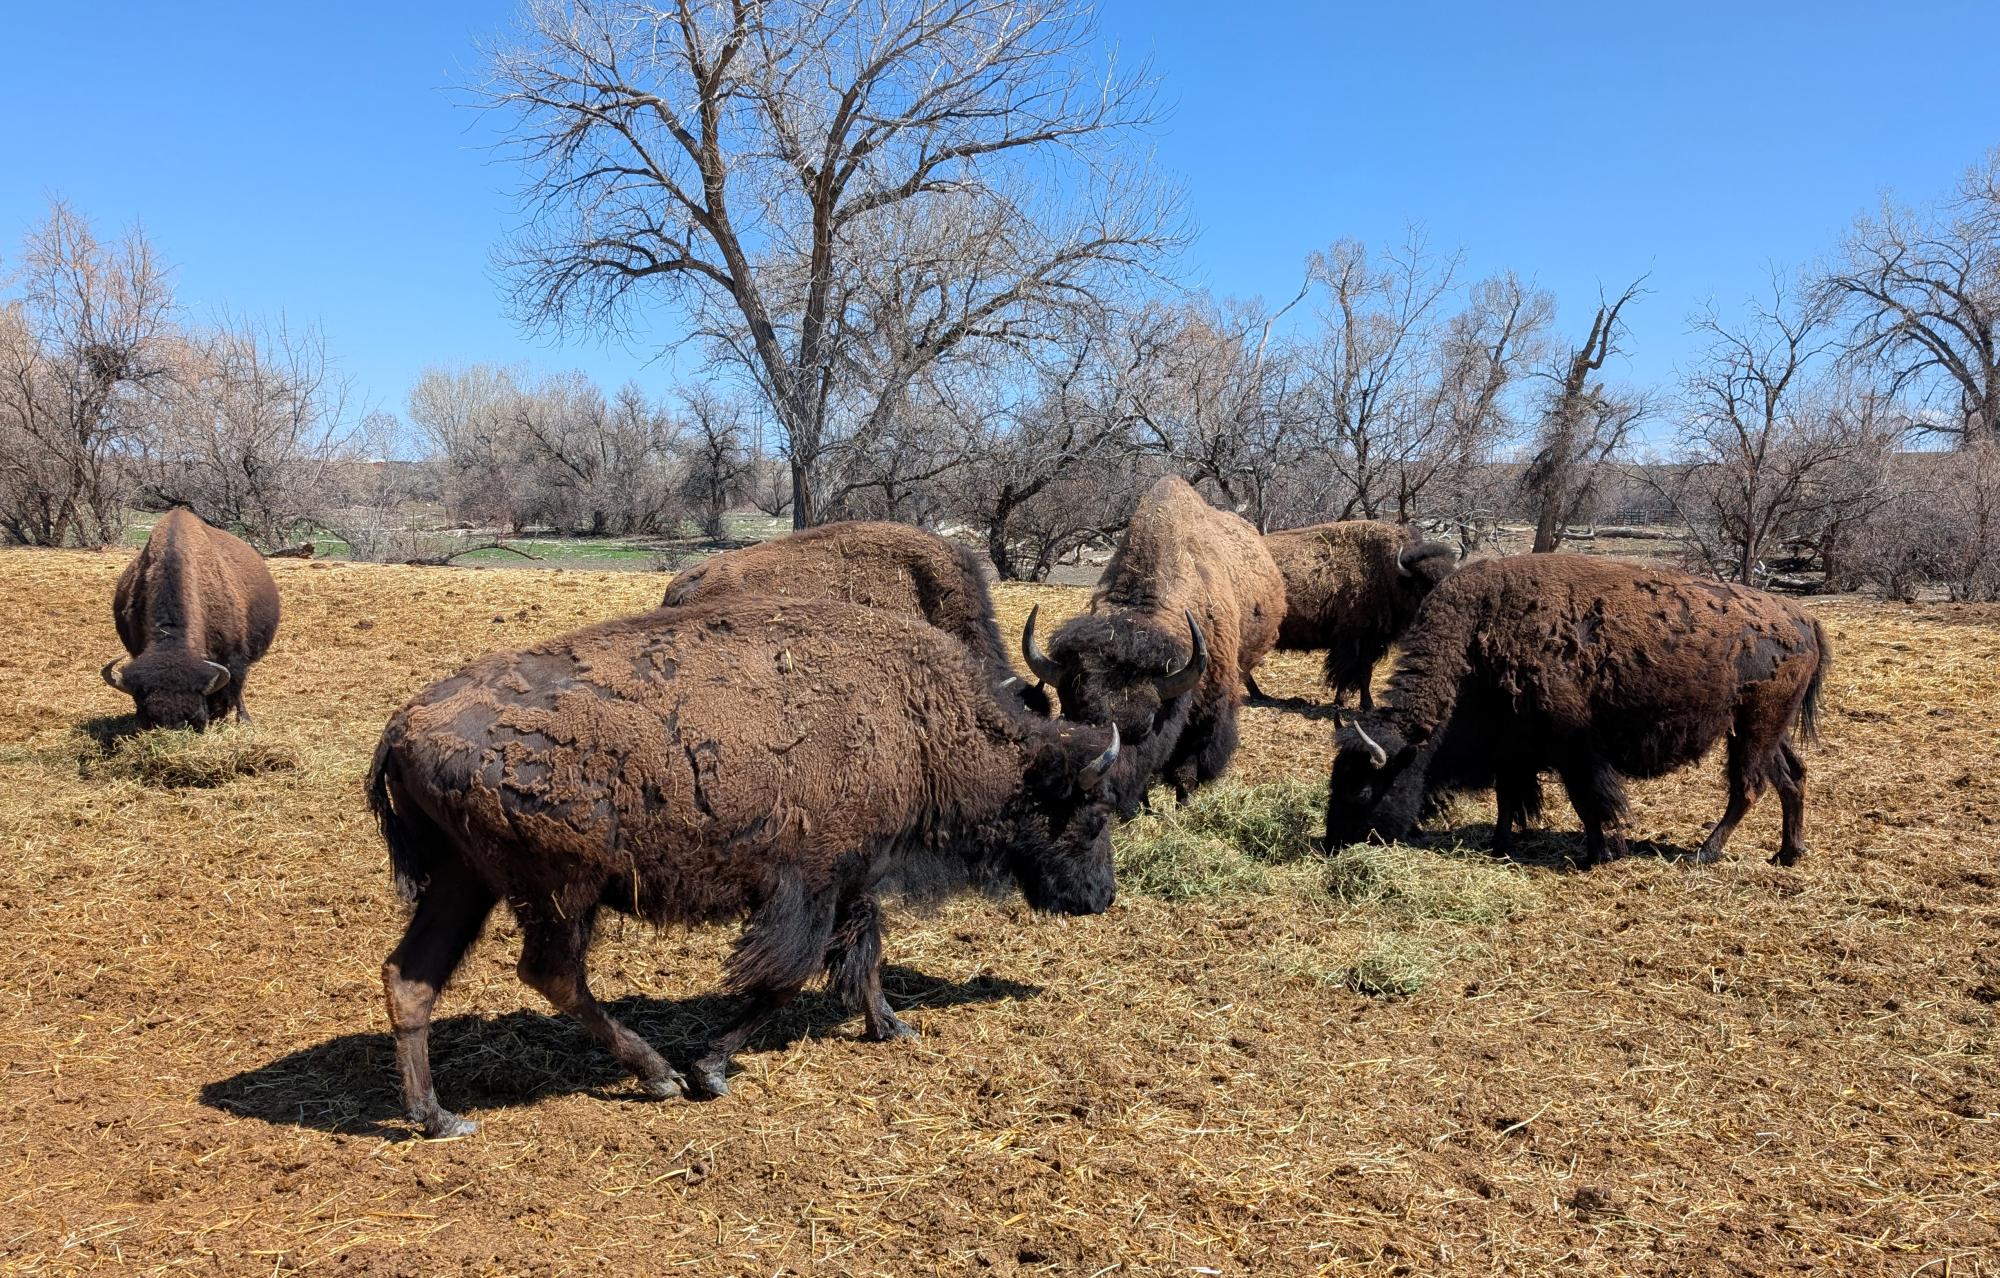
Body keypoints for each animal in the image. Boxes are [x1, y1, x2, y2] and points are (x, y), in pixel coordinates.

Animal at [370, 598, 1124, 1137]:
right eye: (1091, 812)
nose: (1100, 897)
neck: (915, 720)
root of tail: (402, 726)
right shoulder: (807, 885)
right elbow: (785, 978)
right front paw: (708, 1069)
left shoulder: (853, 877)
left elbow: (863, 956)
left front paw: (892, 1026)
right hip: (559, 891)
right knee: (549, 973)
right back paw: (658, 1075)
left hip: (465, 883)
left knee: (412, 977)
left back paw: (436, 1118)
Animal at [1021, 476, 1285, 811]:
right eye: (1072, 716)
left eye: (1145, 726)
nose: (1103, 791)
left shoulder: (1209, 708)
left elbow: (1187, 765)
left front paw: (1183, 803)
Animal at [1248, 520, 1456, 707]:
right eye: (1422, 584)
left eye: (1449, 579)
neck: (1386, 571)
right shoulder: (1353, 639)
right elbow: (1352, 671)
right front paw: (1353, 703)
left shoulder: (1370, 642)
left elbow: (1363, 673)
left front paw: (1358, 702)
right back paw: (1259, 695)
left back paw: (1259, 695)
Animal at [1326, 555, 1828, 867]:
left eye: (1364, 789)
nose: (1333, 842)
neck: (1475, 641)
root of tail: (1801, 618)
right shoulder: (1513, 750)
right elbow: (1509, 798)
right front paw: (1499, 844)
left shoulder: (1575, 749)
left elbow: (1588, 802)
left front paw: (1595, 855)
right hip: (1764, 729)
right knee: (1791, 777)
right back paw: (1787, 854)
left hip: (1753, 727)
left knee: (1748, 787)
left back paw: (1706, 852)